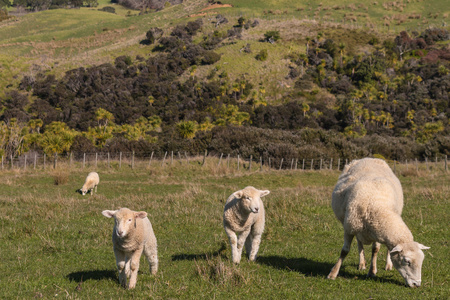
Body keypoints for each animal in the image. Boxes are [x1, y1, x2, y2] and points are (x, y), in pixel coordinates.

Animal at [326, 158, 428, 288]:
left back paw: (387, 265)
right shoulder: (349, 228)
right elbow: (345, 251)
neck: (379, 205)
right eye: (407, 261)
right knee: (359, 243)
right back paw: (361, 264)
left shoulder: (377, 231)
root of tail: (369, 158)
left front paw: (372, 271)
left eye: (422, 261)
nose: (417, 284)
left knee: (387, 249)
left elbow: (375, 250)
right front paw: (333, 274)